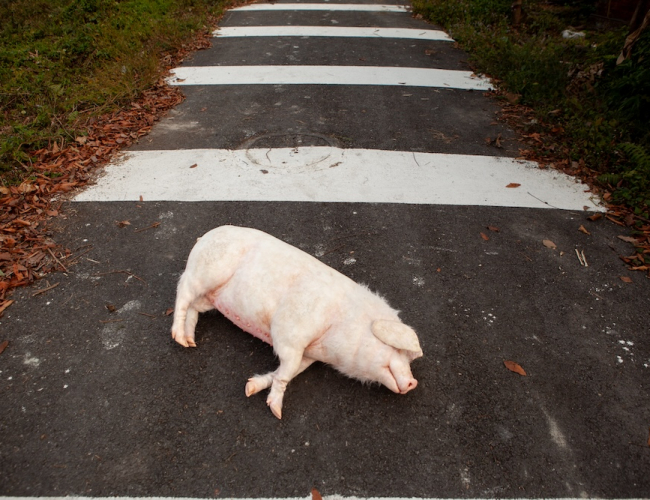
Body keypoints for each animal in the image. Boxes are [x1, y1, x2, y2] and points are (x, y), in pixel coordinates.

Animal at [171, 225, 423, 419]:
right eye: (398, 350)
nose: (413, 383)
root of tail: (204, 236)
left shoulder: (310, 355)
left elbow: (288, 372)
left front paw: (250, 388)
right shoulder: (290, 334)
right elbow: (287, 369)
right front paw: (277, 412)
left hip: (209, 297)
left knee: (193, 308)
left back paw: (191, 341)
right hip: (204, 273)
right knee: (182, 295)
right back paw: (180, 339)